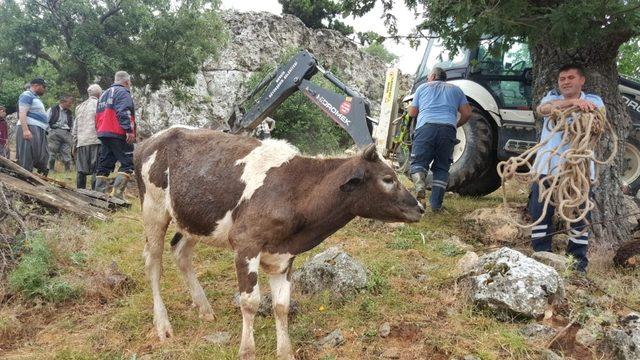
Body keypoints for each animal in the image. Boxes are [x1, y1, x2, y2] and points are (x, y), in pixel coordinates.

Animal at [134, 127, 424, 360]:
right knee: (153, 262)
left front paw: (285, 352)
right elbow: (250, 302)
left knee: (180, 252)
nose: (419, 208)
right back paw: (163, 324)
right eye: (388, 179)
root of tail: (152, 139)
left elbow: (281, 306)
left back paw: (204, 309)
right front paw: (246, 351)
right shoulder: (245, 244)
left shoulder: (283, 256)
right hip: (153, 209)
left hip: (193, 218)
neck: (295, 192)